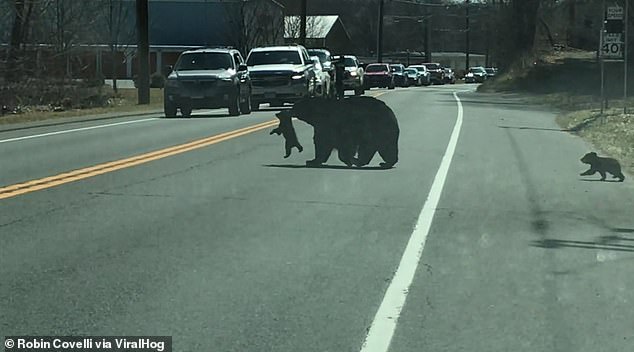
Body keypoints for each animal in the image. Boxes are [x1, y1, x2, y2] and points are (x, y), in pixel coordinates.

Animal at [272, 96, 400, 168]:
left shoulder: (333, 124)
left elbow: (325, 142)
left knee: (375, 147)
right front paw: (314, 160)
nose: (288, 110)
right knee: (382, 148)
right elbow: (323, 141)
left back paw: (362, 161)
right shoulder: (323, 125)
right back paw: (384, 162)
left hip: (375, 128)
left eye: (295, 106)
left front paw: (312, 161)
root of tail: (391, 114)